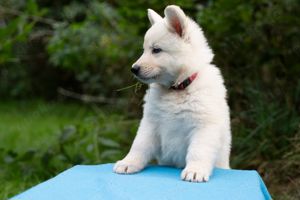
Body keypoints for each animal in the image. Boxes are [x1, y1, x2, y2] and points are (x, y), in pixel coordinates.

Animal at [113, 5, 231, 183]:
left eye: (156, 50)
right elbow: (139, 145)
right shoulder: (151, 122)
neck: (177, 88)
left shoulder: (204, 125)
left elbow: (199, 150)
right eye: (144, 50)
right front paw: (128, 163)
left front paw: (195, 171)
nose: (134, 69)